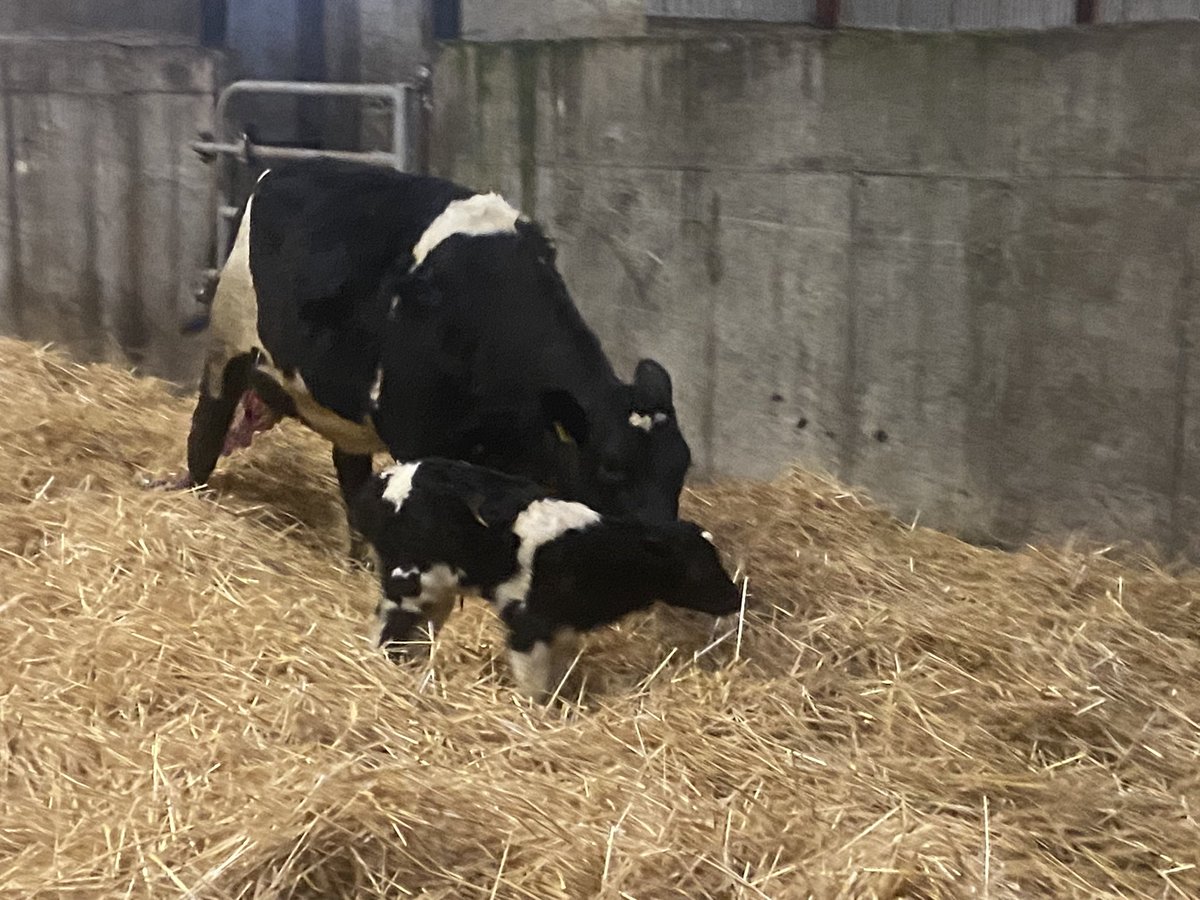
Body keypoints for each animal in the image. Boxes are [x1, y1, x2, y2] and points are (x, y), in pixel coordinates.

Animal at [166, 157, 692, 549]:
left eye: (681, 467)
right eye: (611, 466)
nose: (669, 541)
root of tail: (278, 171)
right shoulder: (414, 433)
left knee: (351, 473)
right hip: (230, 340)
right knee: (208, 428)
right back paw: (190, 488)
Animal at [350, 458, 742, 701]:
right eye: (696, 568)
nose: (735, 598)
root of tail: (381, 483)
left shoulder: (562, 623)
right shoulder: (529, 620)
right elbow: (533, 681)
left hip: (438, 588)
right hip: (409, 578)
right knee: (388, 622)